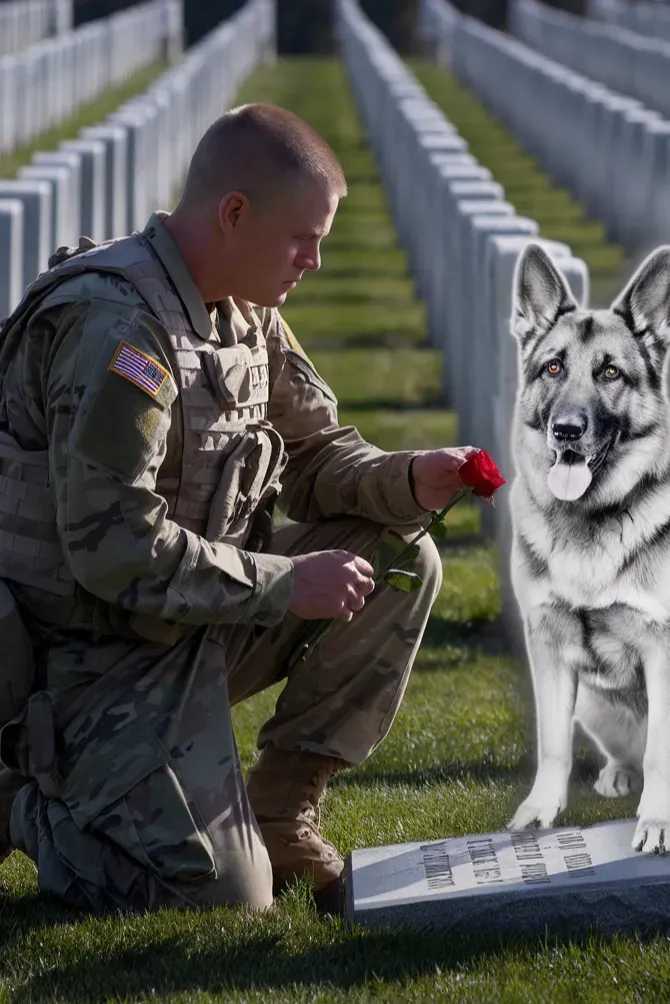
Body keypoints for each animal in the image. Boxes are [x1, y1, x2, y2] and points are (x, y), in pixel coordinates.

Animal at [506, 238, 670, 851]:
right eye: (553, 367)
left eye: (611, 373)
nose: (567, 431)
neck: (591, 517)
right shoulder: (548, 644)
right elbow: (552, 744)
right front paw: (539, 813)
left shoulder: (662, 649)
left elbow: (662, 755)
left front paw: (656, 822)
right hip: (598, 705)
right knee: (626, 751)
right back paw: (616, 774)